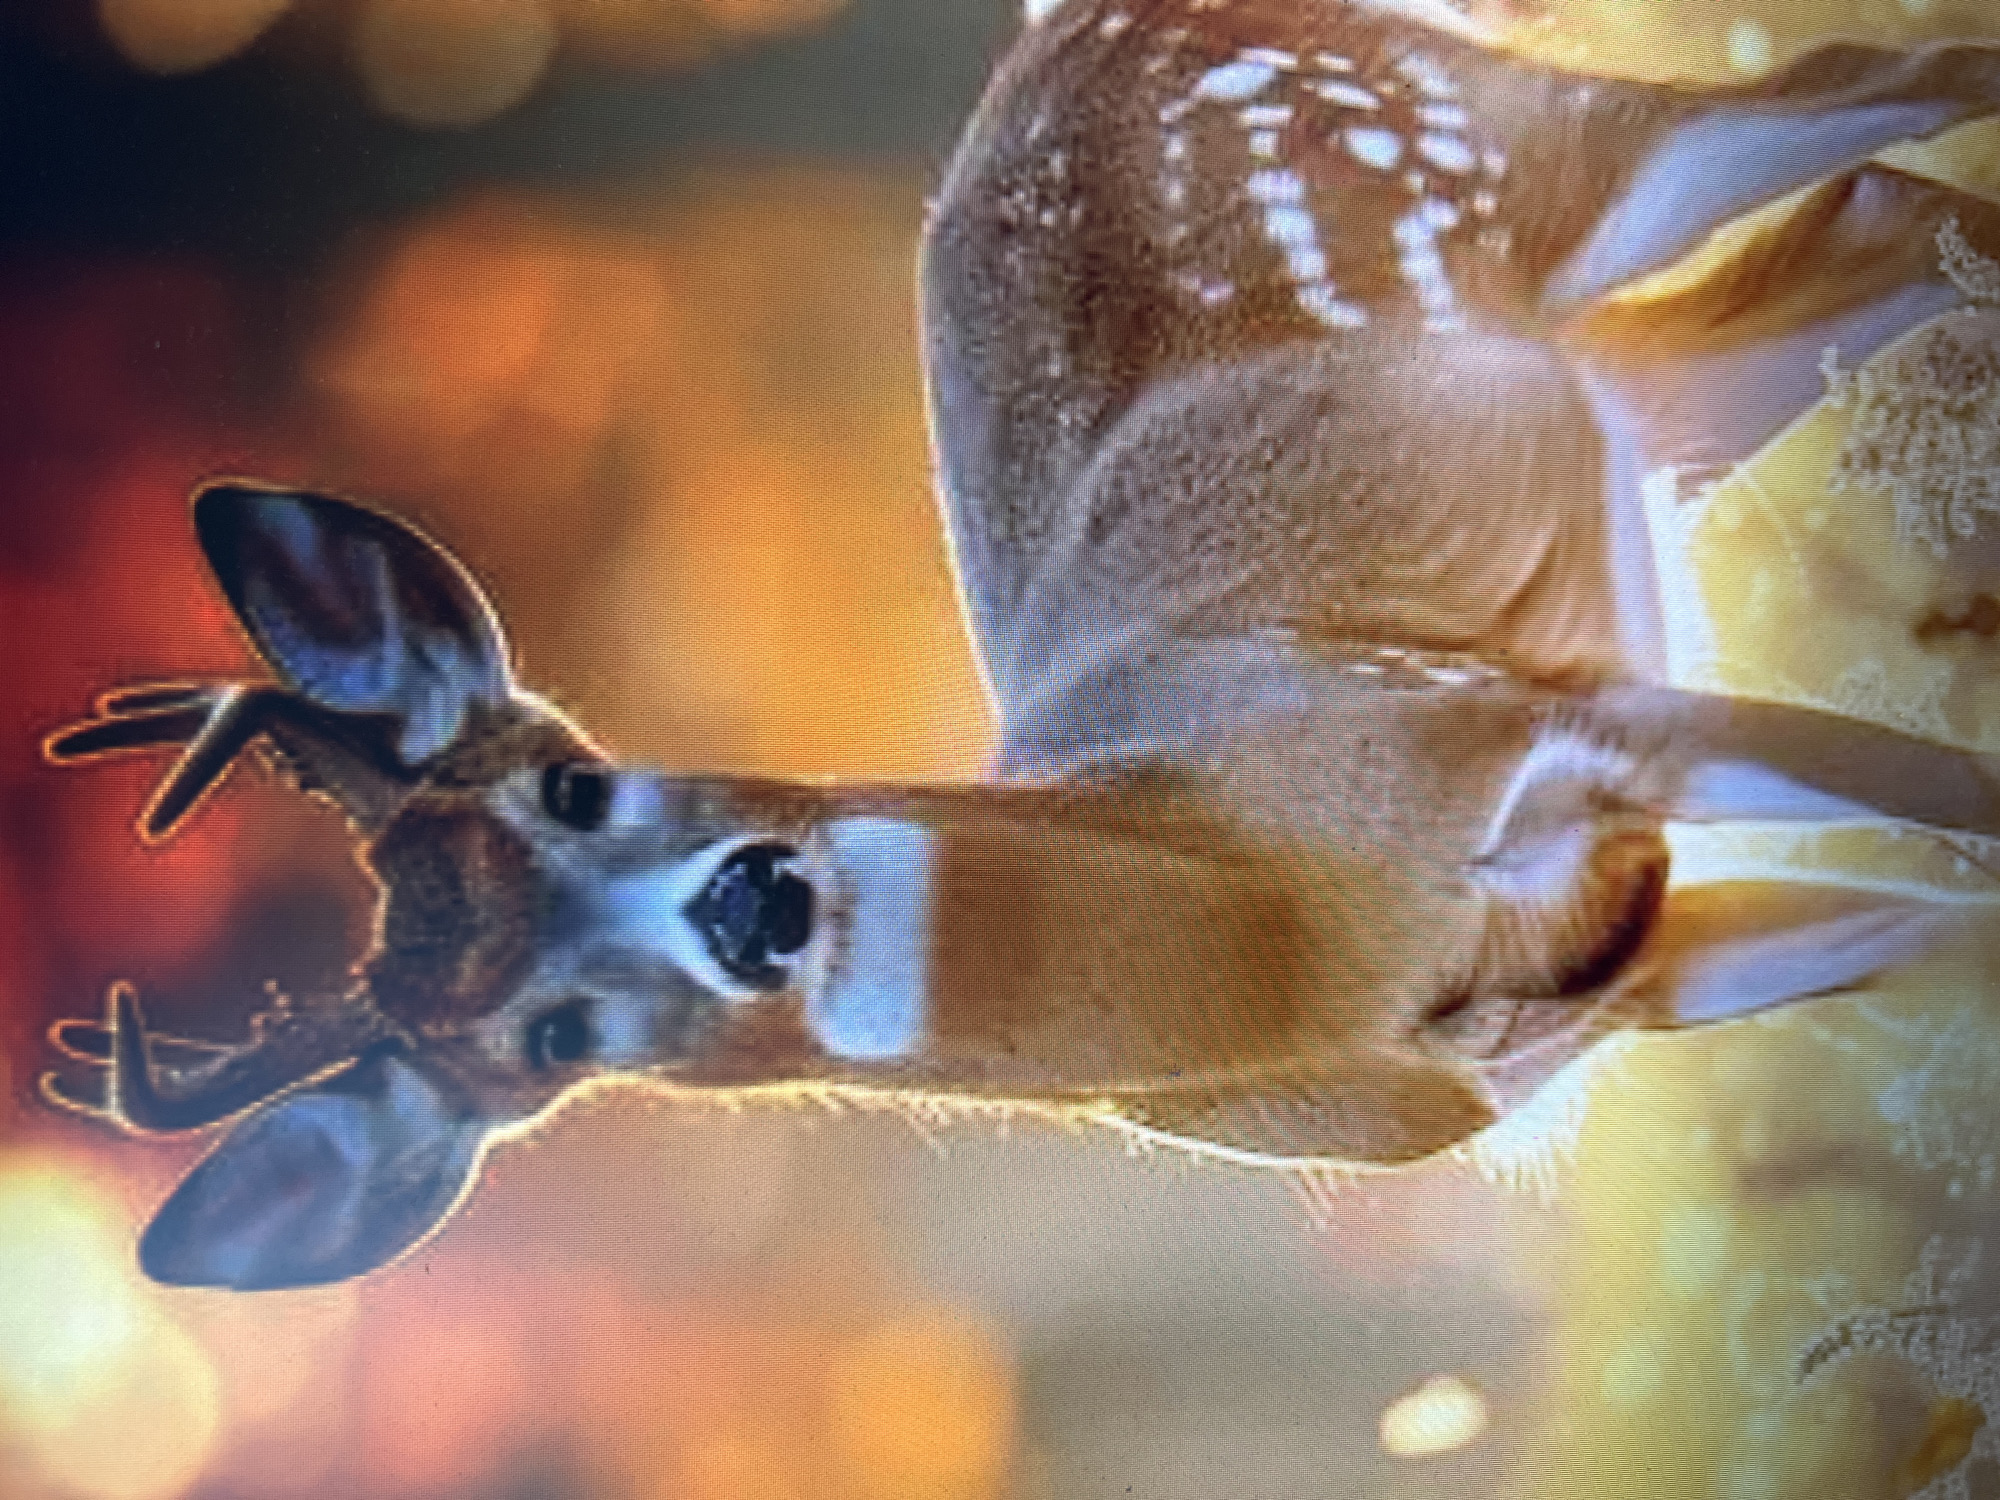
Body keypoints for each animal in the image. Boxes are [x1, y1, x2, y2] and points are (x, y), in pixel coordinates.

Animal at [38, 0, 2000, 1290]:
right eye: (547, 1040)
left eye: (573, 787)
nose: (755, 902)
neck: (1288, 910)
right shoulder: (1627, 979)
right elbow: (1935, 932)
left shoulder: (1553, 720)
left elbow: (1952, 807)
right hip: (1643, 379)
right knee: (1887, 204)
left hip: (1507, 147)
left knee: (1871, 83)